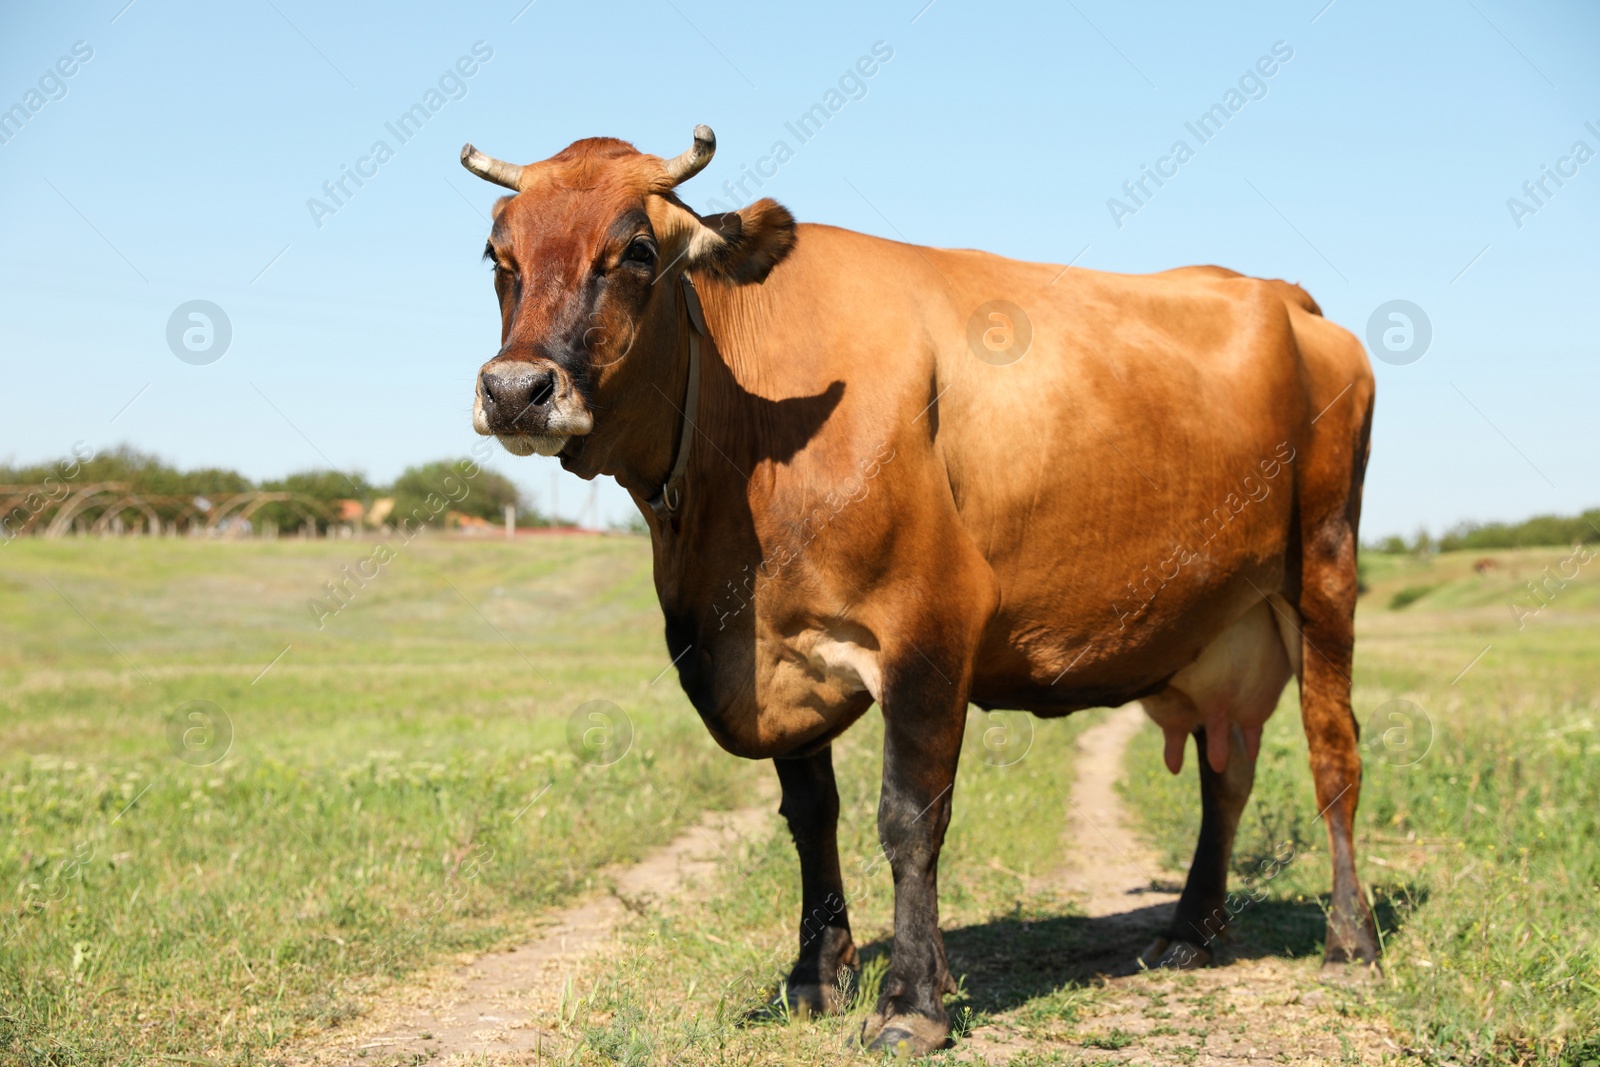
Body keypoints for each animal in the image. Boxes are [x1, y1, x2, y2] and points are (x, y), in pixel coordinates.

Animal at [460, 129, 1376, 1055]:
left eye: (639, 251)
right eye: (498, 255)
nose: (514, 389)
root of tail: (1285, 297)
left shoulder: (932, 618)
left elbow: (908, 818)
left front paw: (910, 1001)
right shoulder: (777, 647)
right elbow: (811, 814)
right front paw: (815, 974)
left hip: (1323, 570)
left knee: (1334, 751)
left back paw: (1350, 939)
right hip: (1226, 623)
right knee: (1226, 774)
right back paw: (1189, 932)